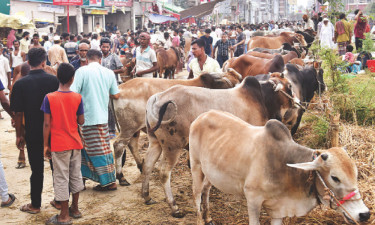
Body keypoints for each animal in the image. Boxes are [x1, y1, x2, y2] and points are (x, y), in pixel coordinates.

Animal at [111, 71, 242, 185]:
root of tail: (120, 89)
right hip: (128, 128)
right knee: (119, 145)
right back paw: (121, 177)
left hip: (134, 129)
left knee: (132, 144)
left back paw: (140, 166)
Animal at [142, 75, 302, 218]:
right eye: (289, 86)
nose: (298, 102)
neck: (262, 98)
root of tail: (158, 97)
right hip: (172, 146)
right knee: (164, 173)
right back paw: (174, 208)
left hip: (155, 142)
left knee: (147, 164)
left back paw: (146, 196)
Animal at [189, 110, 372, 225]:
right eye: (335, 177)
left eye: (356, 174)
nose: (365, 214)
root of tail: (201, 116)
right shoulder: (253, 199)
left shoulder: (278, 210)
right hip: (196, 166)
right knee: (197, 193)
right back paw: (200, 220)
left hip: (210, 172)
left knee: (206, 190)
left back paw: (208, 218)